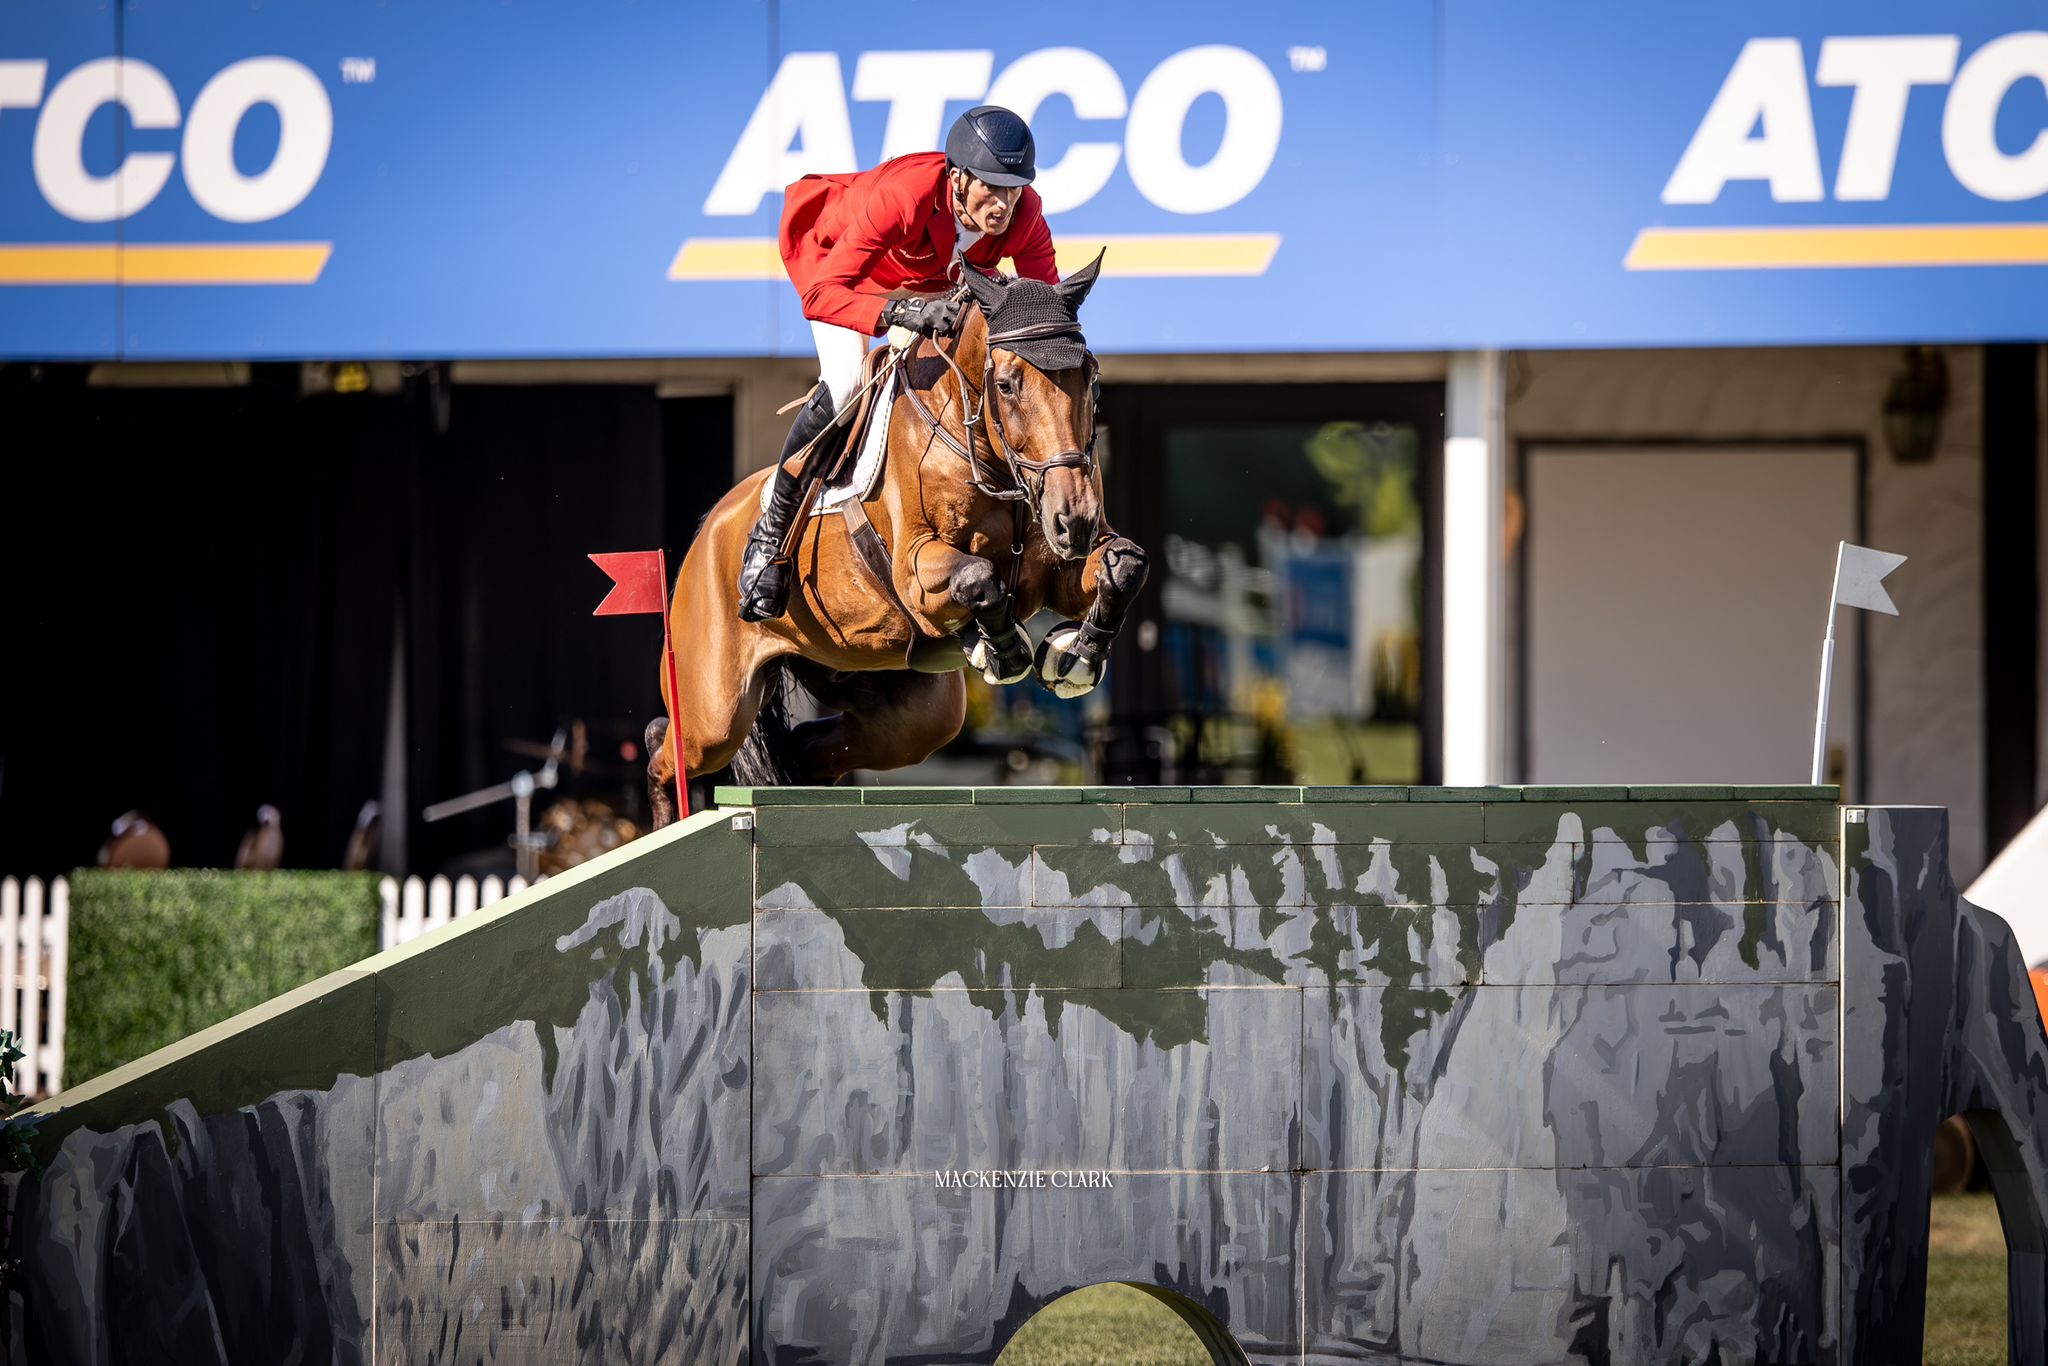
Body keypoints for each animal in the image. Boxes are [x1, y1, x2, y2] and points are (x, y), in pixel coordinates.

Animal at [647, 252, 1146, 823]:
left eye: (1093, 380)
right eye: (1006, 385)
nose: (1075, 520)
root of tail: (706, 531)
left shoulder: (1058, 571)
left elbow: (1126, 563)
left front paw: (1078, 654)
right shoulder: (915, 574)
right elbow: (978, 577)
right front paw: (1004, 652)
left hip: (895, 703)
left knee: (811, 749)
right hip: (714, 709)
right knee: (667, 747)